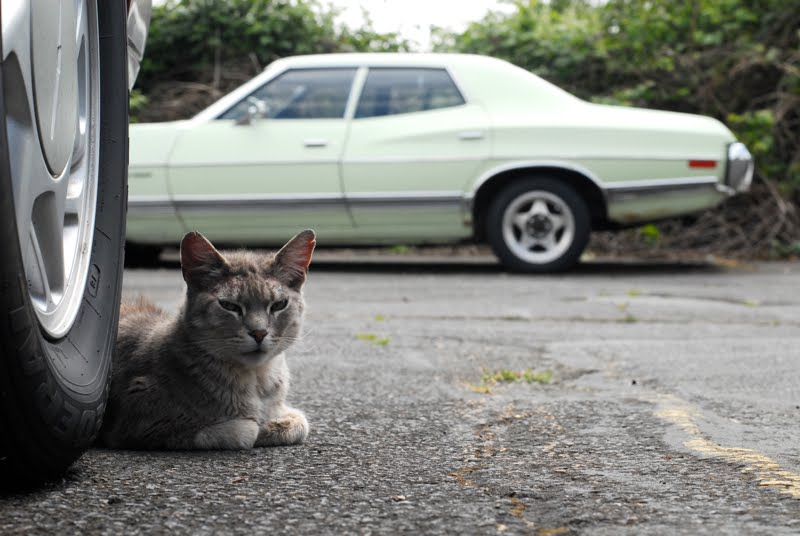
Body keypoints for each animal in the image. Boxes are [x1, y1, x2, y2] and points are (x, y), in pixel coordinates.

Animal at [98, 229, 314, 448]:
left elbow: (299, 422)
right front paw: (258, 427)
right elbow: (244, 430)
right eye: (229, 306)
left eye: (279, 305)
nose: (259, 333)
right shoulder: (139, 422)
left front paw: (273, 424)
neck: (257, 379)